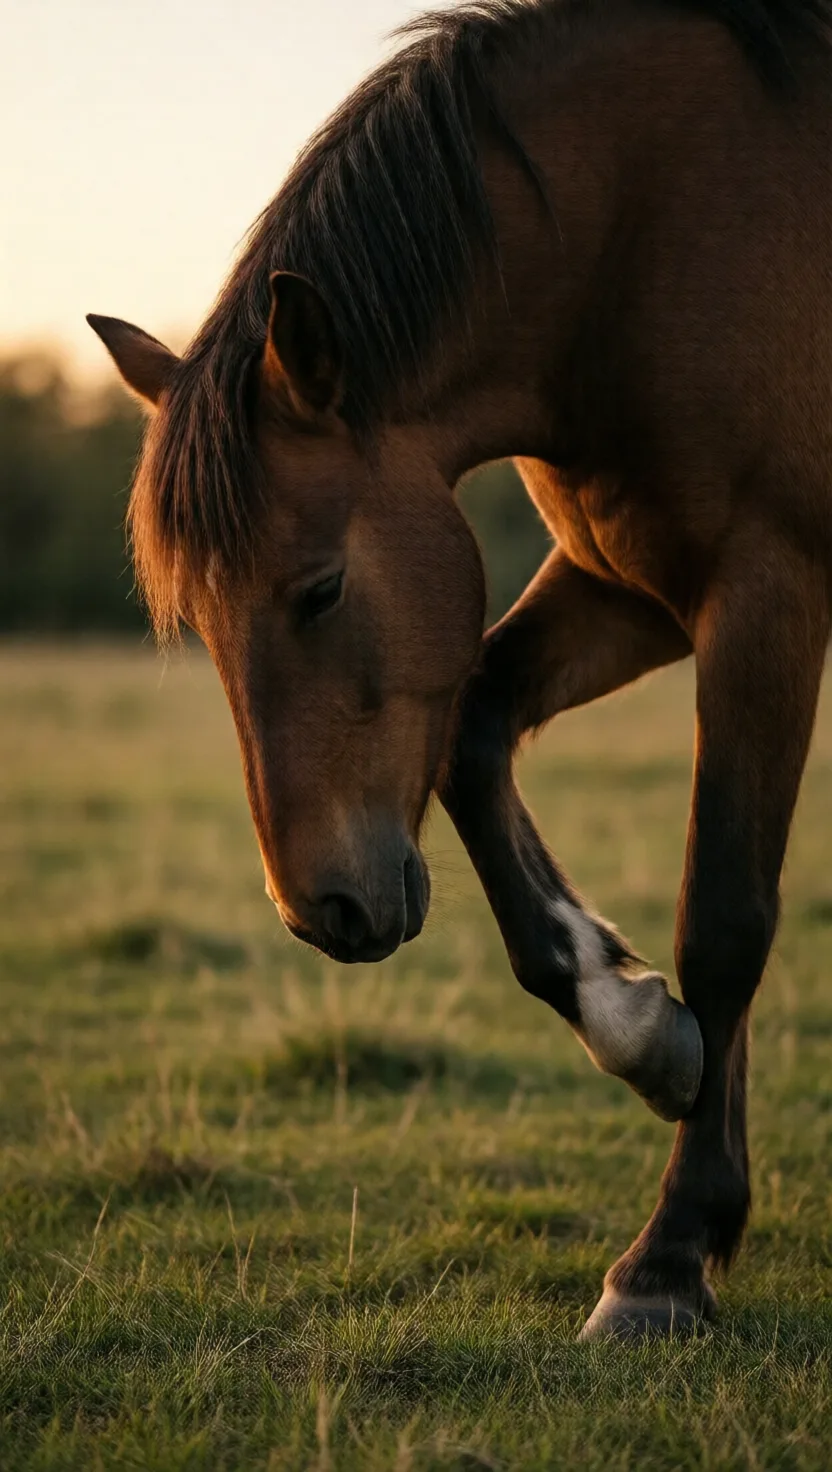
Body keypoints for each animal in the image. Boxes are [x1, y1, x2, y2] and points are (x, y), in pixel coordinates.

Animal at [88, 0, 832, 1339]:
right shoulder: (630, 586)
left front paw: (665, 1261)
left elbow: (727, 915)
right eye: (201, 626)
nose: (321, 911)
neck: (652, 230)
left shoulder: (766, 588)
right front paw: (633, 1023)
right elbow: (475, 734)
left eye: (320, 589)